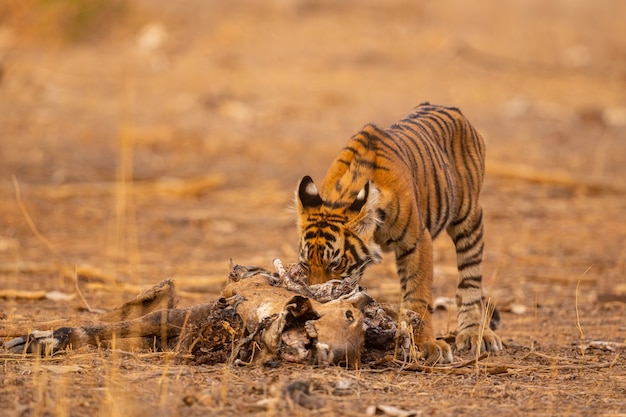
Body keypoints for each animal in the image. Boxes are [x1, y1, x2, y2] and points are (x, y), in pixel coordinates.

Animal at [294, 102, 502, 362]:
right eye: (305, 265)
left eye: (335, 264)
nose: (317, 301)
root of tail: (450, 108)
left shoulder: (418, 241)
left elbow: (418, 296)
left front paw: (427, 345)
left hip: (469, 216)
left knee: (470, 278)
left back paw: (475, 334)